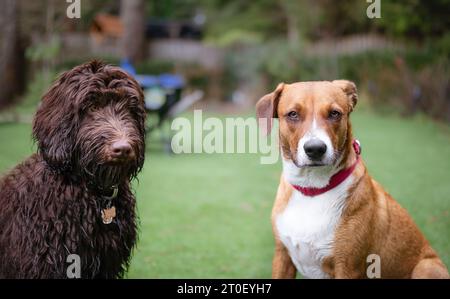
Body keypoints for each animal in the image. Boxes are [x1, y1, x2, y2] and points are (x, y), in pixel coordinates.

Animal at [256, 81, 450, 280]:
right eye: (293, 114)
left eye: (334, 113)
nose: (315, 149)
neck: (312, 190)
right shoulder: (282, 257)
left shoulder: (347, 267)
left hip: (425, 266)